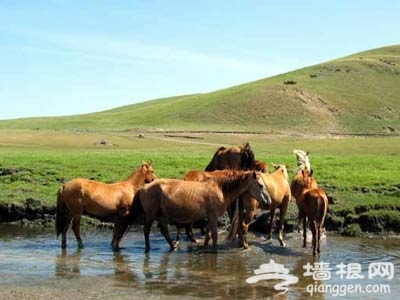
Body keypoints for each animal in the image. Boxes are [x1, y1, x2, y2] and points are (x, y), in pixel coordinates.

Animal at [111, 170, 268, 252]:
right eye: (260, 185)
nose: (267, 201)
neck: (220, 188)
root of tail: (144, 187)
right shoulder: (213, 216)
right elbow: (214, 235)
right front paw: (214, 250)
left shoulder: (210, 217)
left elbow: (208, 234)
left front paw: (204, 247)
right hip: (151, 215)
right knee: (146, 231)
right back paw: (148, 248)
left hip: (161, 215)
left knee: (164, 231)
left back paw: (173, 246)